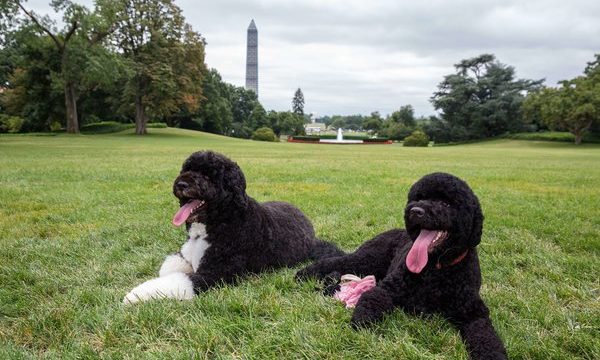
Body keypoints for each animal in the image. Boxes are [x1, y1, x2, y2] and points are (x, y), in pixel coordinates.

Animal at [124, 150, 340, 304]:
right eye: (186, 169)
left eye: (208, 176)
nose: (181, 184)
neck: (219, 221)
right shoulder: (186, 255)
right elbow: (169, 267)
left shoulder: (217, 273)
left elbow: (179, 280)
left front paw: (135, 295)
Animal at [296, 173, 506, 358]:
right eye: (419, 198)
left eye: (446, 203)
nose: (415, 211)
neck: (436, 269)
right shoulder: (388, 289)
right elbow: (372, 299)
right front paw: (361, 322)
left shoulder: (474, 312)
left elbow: (485, 335)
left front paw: (492, 354)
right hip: (366, 259)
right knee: (336, 261)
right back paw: (304, 274)